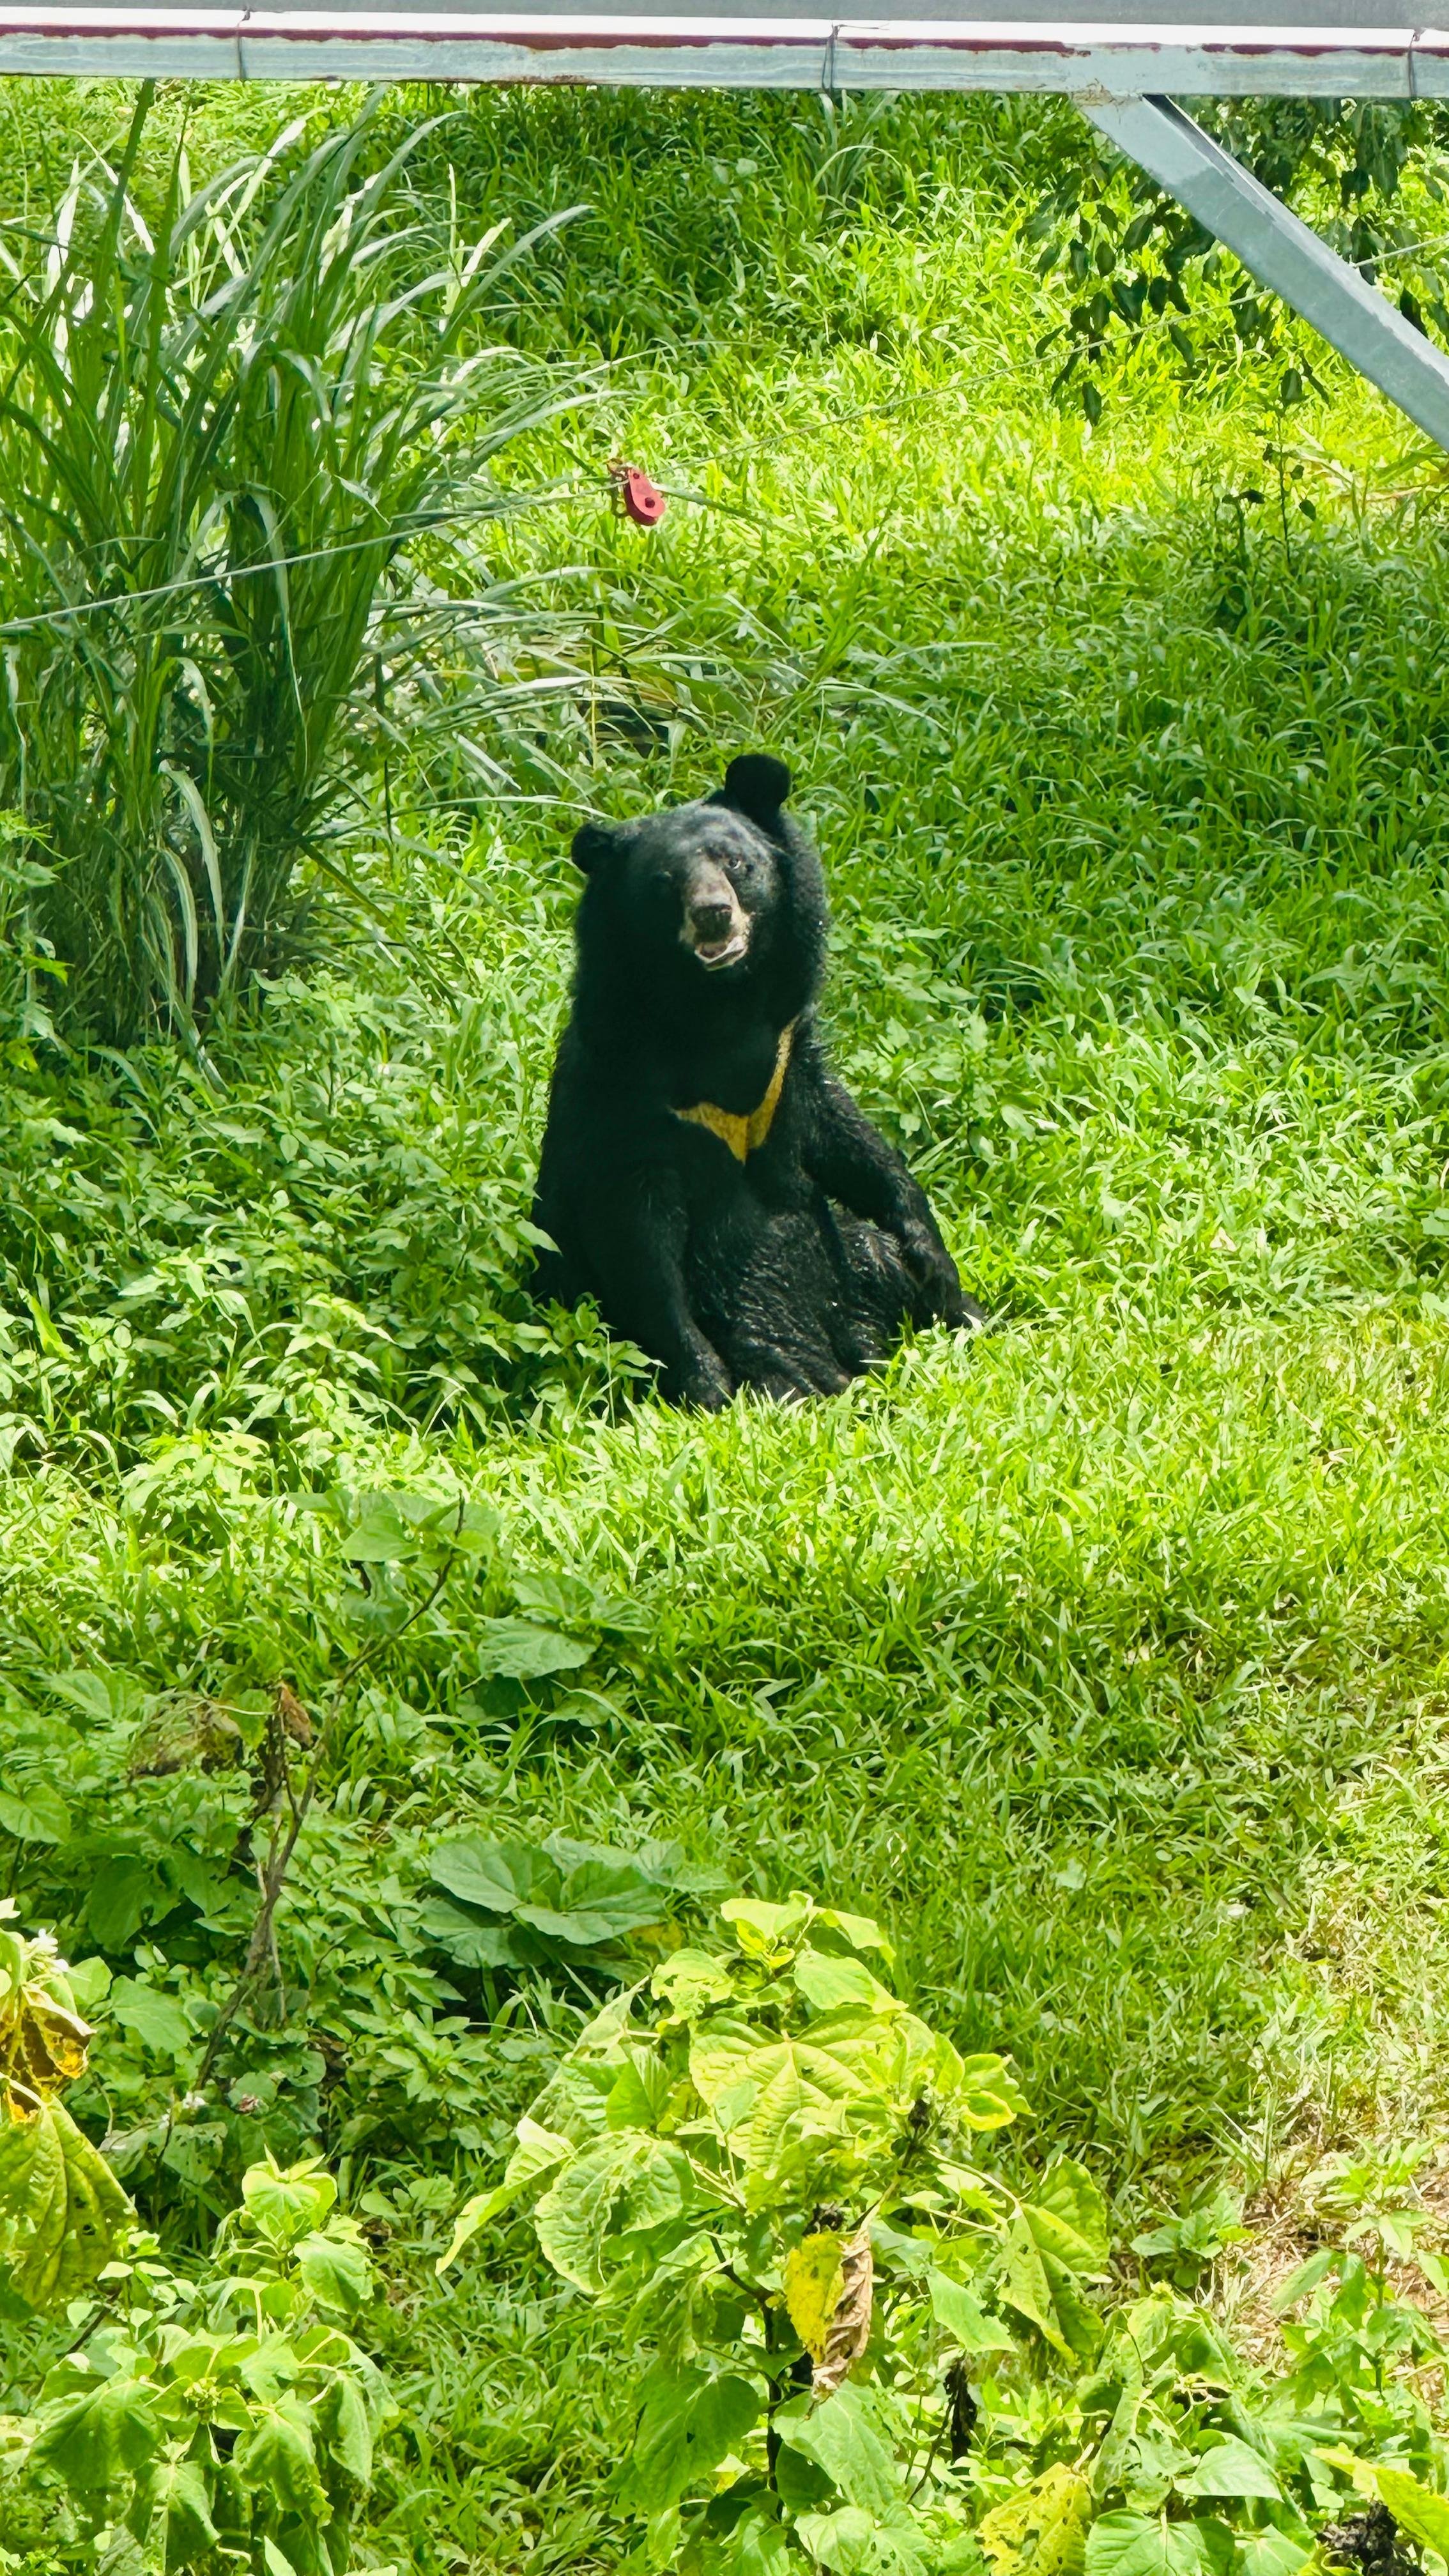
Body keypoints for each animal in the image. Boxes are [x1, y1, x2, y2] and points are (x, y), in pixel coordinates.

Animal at [529, 753, 981, 1408]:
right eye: (665, 881)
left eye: (736, 863)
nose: (714, 913)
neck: (722, 1010)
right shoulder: (629, 1100)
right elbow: (638, 1242)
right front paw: (705, 1382)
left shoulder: (790, 1057)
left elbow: (852, 1142)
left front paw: (937, 1265)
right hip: (754, 1312)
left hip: (851, 1255)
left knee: (880, 1256)